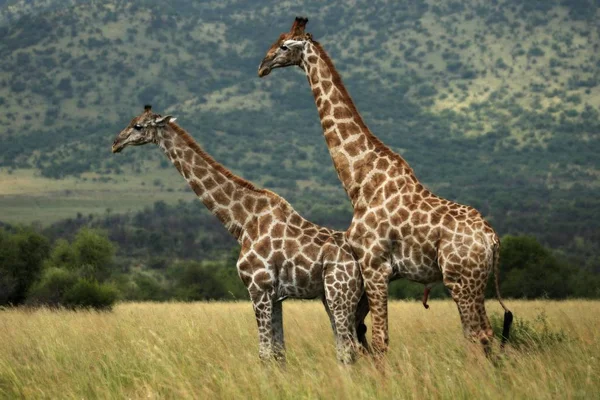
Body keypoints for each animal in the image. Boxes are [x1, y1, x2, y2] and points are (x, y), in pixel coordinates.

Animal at [110, 104, 368, 364]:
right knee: (348, 348)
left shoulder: (258, 289)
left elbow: (265, 353)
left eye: (138, 126)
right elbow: (279, 353)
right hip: (337, 298)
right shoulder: (275, 296)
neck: (243, 222)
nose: (115, 143)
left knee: (348, 350)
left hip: (339, 293)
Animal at [255, 18, 512, 356]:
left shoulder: (374, 266)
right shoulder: (374, 271)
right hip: (472, 281)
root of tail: (492, 239)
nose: (262, 66)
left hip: (462, 279)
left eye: (285, 46)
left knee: (478, 334)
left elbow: (379, 341)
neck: (359, 179)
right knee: (480, 334)